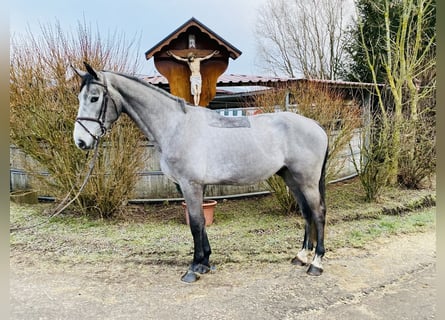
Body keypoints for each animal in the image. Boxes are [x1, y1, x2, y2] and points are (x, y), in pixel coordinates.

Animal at [73, 62, 328, 282]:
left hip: (307, 181)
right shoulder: (188, 186)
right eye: (80, 97)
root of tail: (317, 126)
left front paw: (194, 268)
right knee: (306, 213)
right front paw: (205, 262)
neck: (176, 126)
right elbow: (200, 224)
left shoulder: (191, 184)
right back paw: (301, 256)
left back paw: (316, 263)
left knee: (318, 213)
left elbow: (196, 223)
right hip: (291, 178)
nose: (81, 141)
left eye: (94, 97)